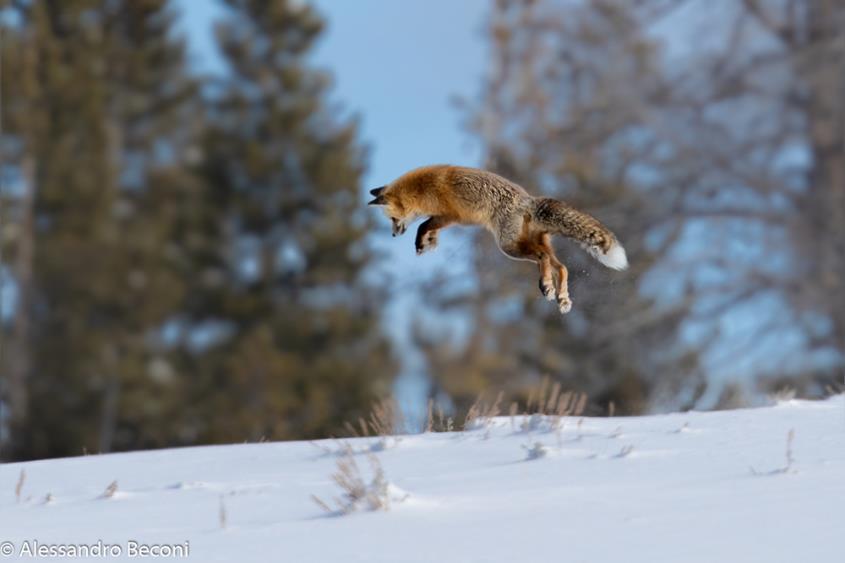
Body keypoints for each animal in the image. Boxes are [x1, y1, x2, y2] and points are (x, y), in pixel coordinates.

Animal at [370, 164, 628, 312]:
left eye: (392, 219)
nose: (393, 234)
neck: (423, 188)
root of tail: (528, 200)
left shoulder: (450, 215)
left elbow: (423, 225)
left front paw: (421, 242)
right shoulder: (443, 217)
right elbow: (429, 228)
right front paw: (429, 243)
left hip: (509, 246)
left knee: (543, 258)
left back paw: (546, 286)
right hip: (531, 243)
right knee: (562, 266)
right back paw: (562, 298)